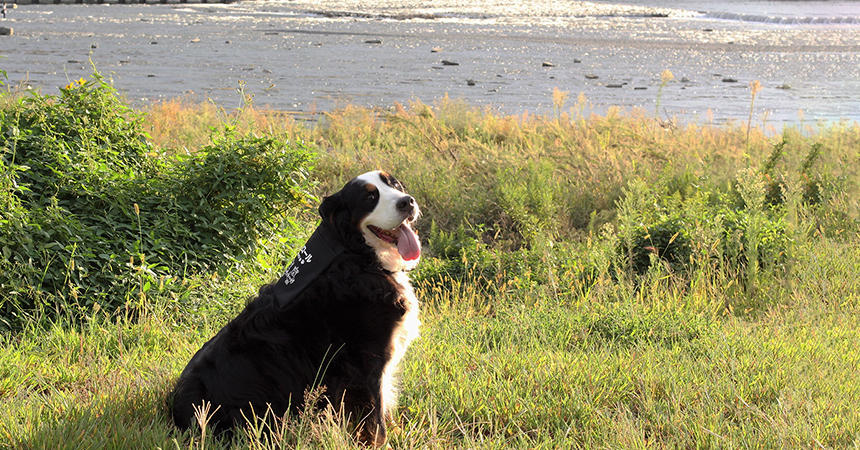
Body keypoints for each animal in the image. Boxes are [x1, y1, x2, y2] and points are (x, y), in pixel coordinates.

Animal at [170, 171, 422, 444]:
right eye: (369, 198)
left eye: (394, 184)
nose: (407, 202)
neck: (359, 256)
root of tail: (177, 411)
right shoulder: (365, 364)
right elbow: (374, 419)